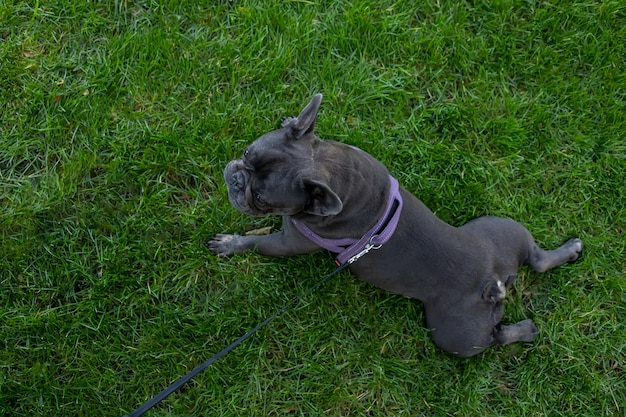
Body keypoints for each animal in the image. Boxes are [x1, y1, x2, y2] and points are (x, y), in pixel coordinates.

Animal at [208, 95, 580, 358]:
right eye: (247, 152)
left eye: (261, 197)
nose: (236, 179)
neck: (328, 166)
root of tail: (493, 281)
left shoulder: (289, 243)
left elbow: (256, 243)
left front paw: (229, 244)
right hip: (500, 228)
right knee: (537, 259)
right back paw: (571, 251)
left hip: (453, 336)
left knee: (495, 337)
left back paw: (526, 331)